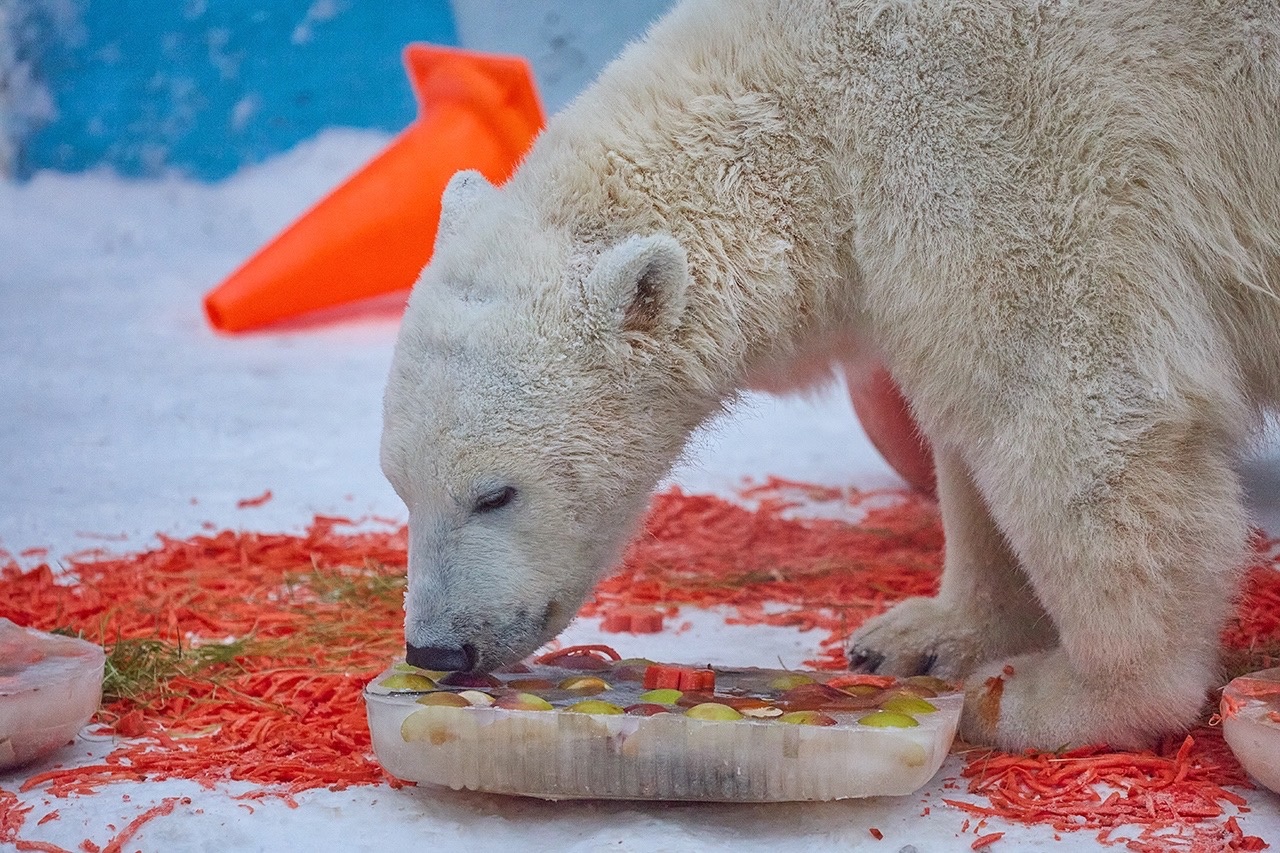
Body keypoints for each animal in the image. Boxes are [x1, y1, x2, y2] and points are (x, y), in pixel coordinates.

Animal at [378, 0, 1280, 747]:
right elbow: (968, 433)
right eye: (399, 485)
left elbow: (1076, 400)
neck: (814, 94)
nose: (438, 647)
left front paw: (1062, 697)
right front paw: (928, 633)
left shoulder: (998, 151)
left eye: (495, 493)